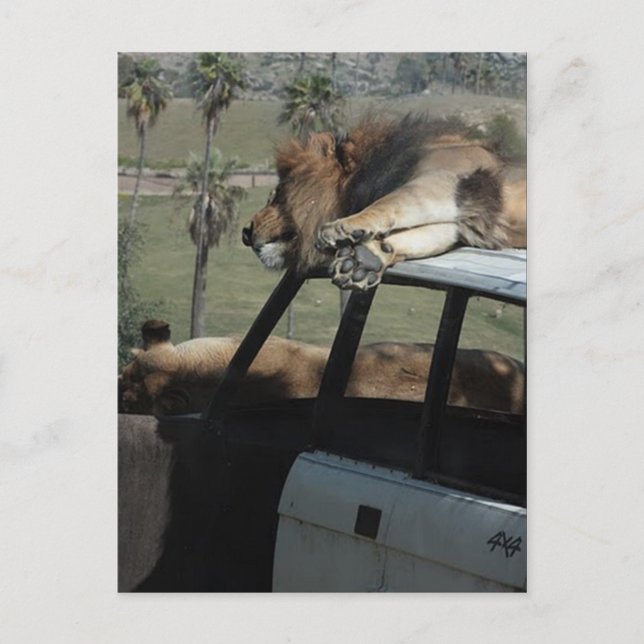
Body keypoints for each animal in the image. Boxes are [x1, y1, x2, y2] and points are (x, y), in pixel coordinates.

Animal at [242, 113, 526, 290]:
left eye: (279, 192)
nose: (245, 232)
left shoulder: (443, 178)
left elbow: (390, 202)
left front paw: (339, 228)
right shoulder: (466, 217)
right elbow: (422, 235)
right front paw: (364, 260)